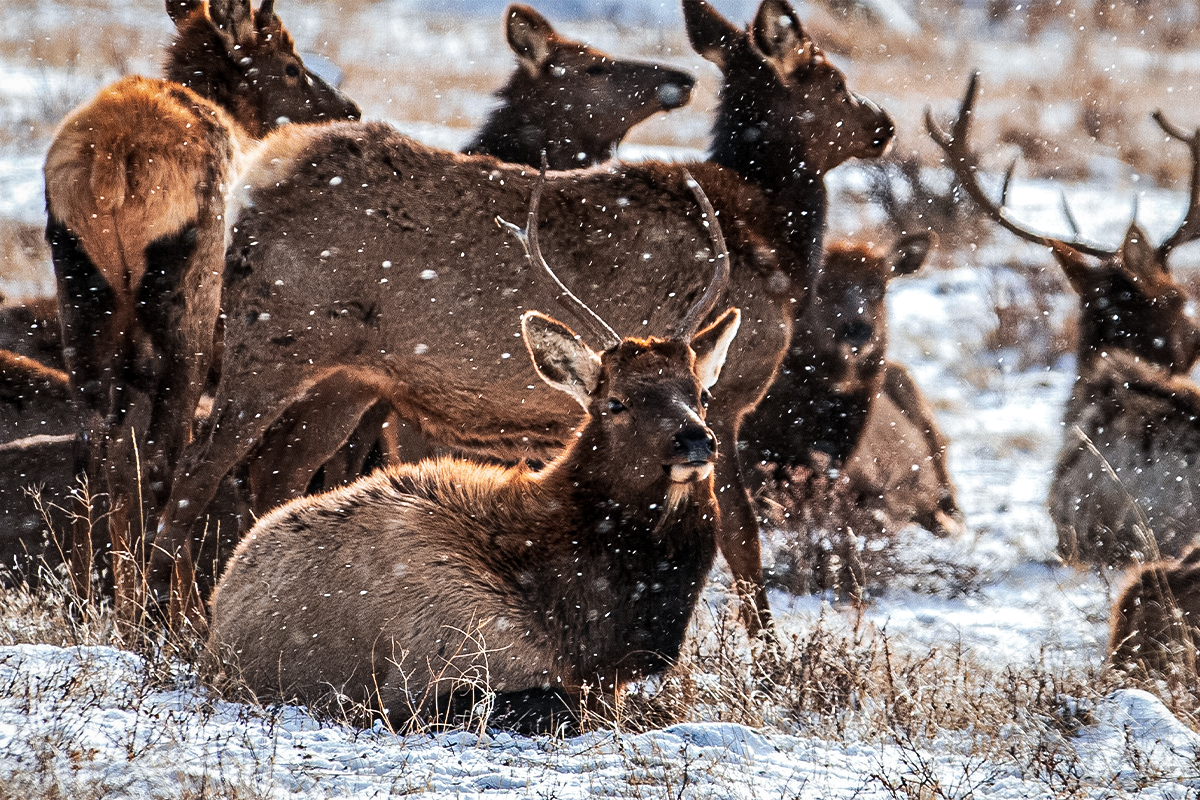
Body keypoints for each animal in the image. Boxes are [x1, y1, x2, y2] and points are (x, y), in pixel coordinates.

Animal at [43, 0, 360, 618]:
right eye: (290, 66)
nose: (348, 110)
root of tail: (115, 164)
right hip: (187, 309)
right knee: (173, 462)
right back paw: (176, 615)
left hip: (83, 303)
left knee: (93, 456)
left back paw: (94, 603)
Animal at [150, 1, 897, 638]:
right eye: (830, 78)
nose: (884, 123)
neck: (774, 242)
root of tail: (257, 178)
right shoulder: (734, 395)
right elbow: (742, 540)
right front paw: (766, 655)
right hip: (275, 338)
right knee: (196, 469)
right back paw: (160, 613)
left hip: (349, 378)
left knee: (274, 476)